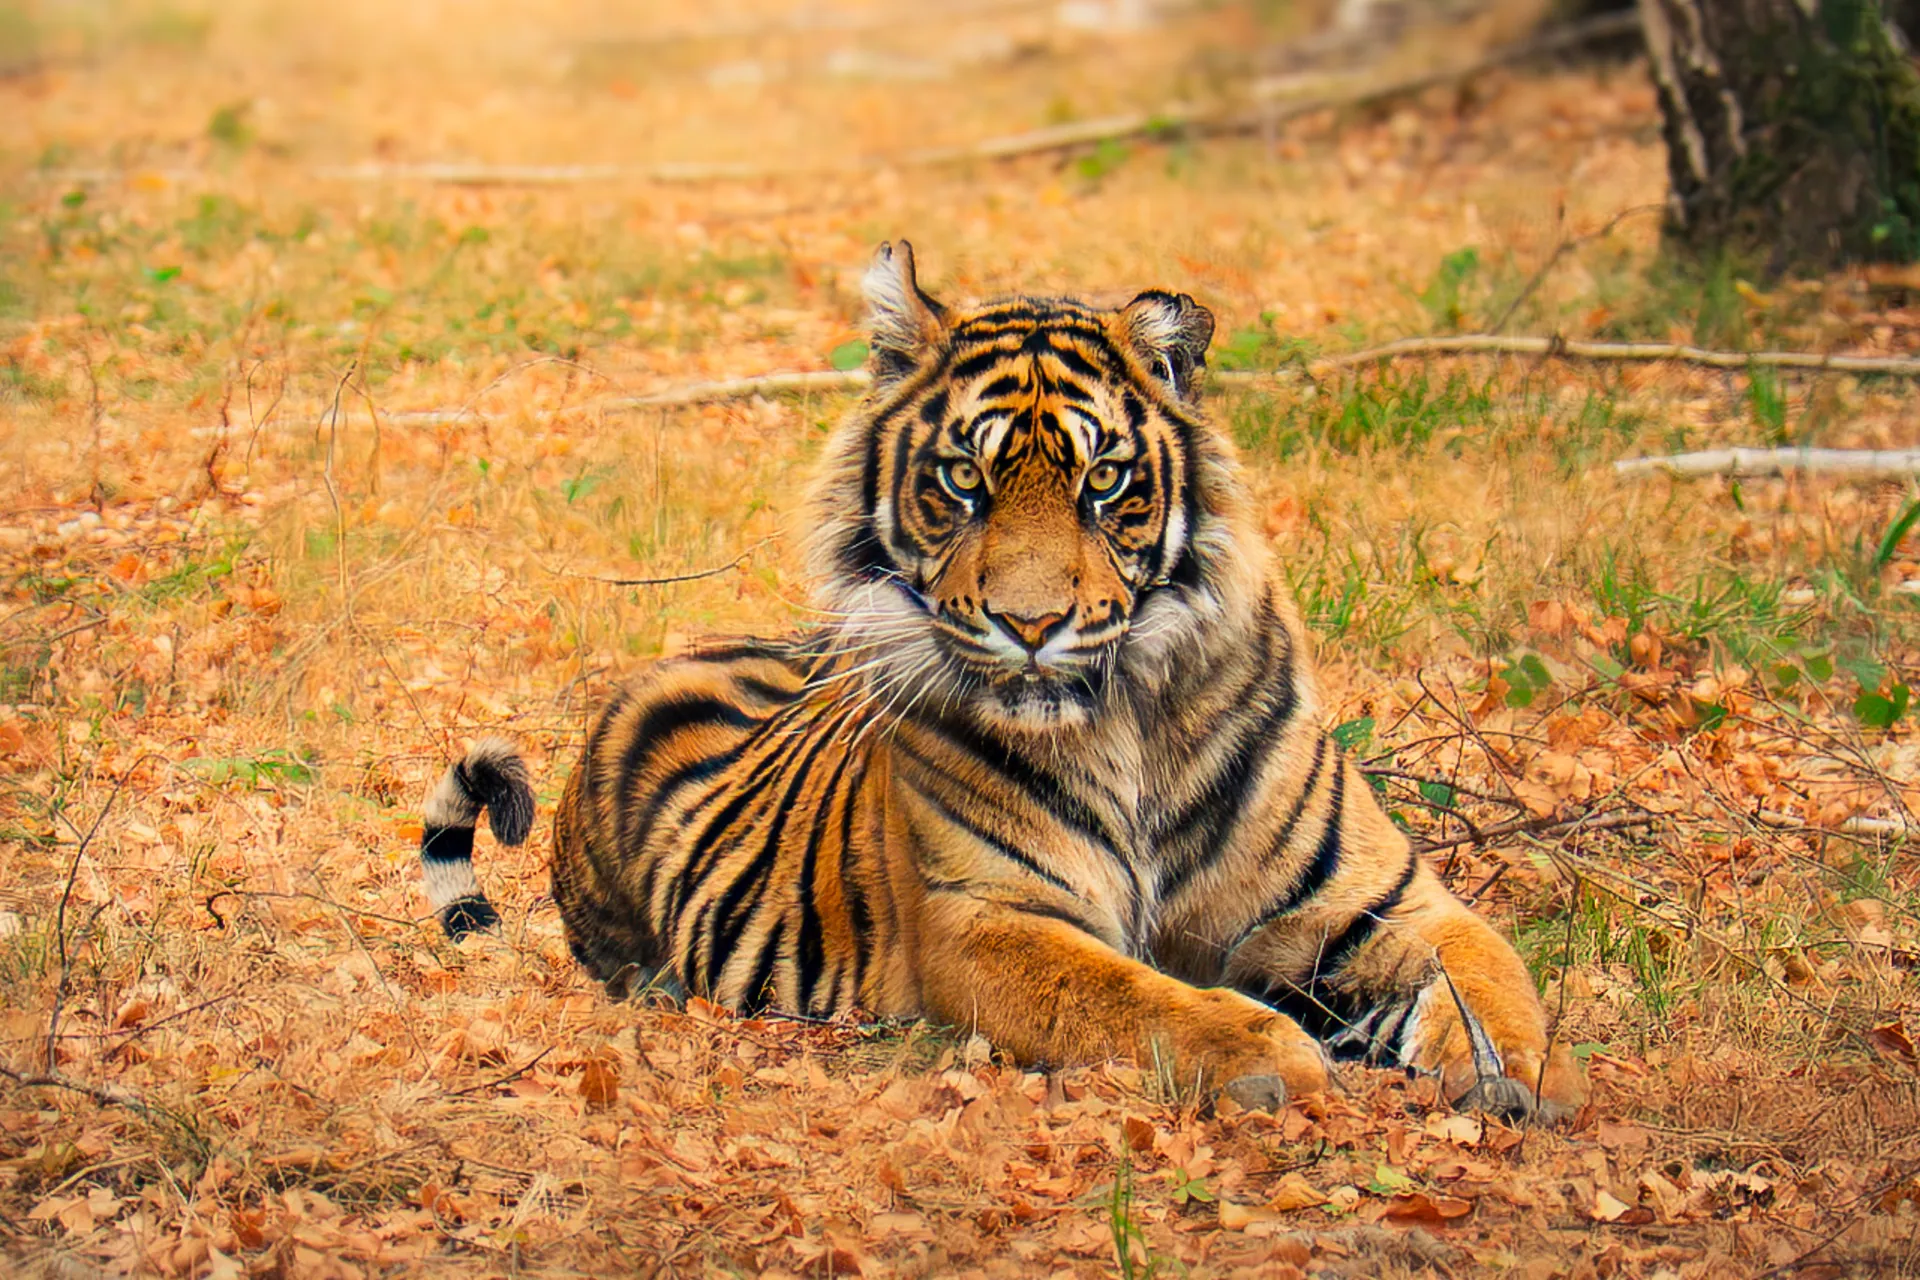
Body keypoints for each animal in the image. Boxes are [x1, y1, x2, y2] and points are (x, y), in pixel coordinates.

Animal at [419, 241, 1588, 1120]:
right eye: (962, 479)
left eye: (1104, 479)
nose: (1031, 625)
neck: (1133, 720)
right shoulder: (986, 919)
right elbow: (1136, 999)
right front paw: (1278, 1057)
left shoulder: (1381, 897)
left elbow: (1493, 969)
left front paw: (1520, 1074)